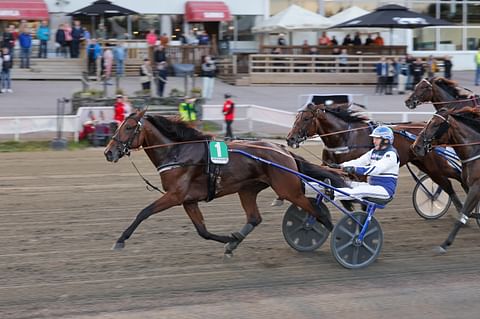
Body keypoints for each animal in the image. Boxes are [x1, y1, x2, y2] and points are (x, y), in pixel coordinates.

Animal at [104, 110, 348, 258]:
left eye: (129, 127)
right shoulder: (188, 200)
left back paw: (346, 238)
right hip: (248, 190)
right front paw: (229, 239)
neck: (178, 152)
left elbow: (143, 212)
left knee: (318, 212)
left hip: (288, 190)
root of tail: (283, 150)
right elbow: (202, 231)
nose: (108, 152)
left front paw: (121, 240)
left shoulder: (174, 196)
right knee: (255, 218)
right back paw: (234, 243)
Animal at [286, 103, 466, 215]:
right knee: (447, 183)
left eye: (306, 119)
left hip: (434, 165)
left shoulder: (361, 175)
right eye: (296, 118)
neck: (345, 138)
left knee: (453, 179)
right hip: (423, 164)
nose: (290, 139)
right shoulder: (328, 166)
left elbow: (363, 199)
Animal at [410, 106, 480, 254]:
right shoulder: (468, 184)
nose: (416, 146)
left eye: (436, 124)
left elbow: (462, 215)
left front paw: (444, 244)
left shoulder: (476, 188)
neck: (476, 152)